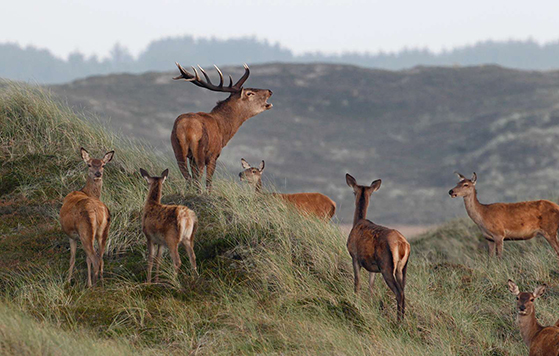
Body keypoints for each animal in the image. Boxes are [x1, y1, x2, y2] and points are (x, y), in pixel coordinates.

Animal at [59, 147, 114, 286]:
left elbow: (72, 259)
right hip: (103, 231)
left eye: (103, 165)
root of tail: (97, 210)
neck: (85, 192)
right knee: (100, 256)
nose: (98, 174)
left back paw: (93, 284)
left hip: (85, 231)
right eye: (89, 164)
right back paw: (101, 282)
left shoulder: (72, 236)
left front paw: (68, 281)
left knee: (94, 258)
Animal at [173, 64, 274, 192]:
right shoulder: (213, 155)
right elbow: (208, 181)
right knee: (198, 178)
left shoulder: (190, 157)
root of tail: (186, 128)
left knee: (188, 177)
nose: (269, 91)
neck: (223, 129)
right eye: (249, 93)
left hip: (178, 149)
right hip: (200, 151)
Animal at [346, 174, 412, 322]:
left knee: (398, 293)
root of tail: (402, 245)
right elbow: (371, 287)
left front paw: (355, 303)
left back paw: (398, 322)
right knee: (403, 291)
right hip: (402, 268)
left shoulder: (355, 257)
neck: (357, 223)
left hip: (386, 266)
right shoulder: (372, 267)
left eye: (353, 192)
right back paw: (402, 320)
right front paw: (370, 304)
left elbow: (357, 283)